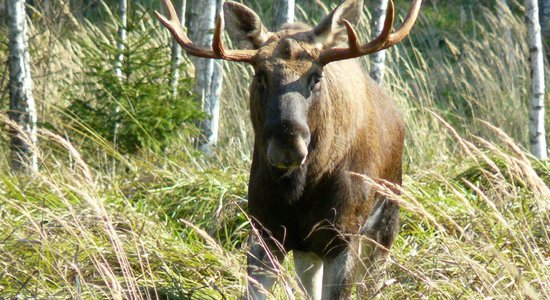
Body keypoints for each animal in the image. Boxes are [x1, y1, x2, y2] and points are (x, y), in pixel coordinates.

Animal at [155, 0, 422, 298]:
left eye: (316, 77)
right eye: (260, 75)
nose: (288, 145)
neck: (299, 190)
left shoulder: (344, 234)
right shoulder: (266, 231)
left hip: (387, 220)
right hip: (308, 250)